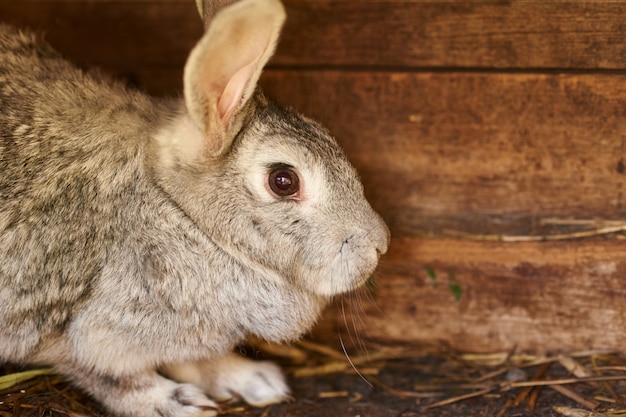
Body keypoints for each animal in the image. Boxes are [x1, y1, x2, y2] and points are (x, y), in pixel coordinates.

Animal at [0, 0, 388, 416]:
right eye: (283, 181)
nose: (380, 244)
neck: (179, 211)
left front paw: (253, 380)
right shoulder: (57, 322)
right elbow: (107, 375)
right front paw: (173, 403)